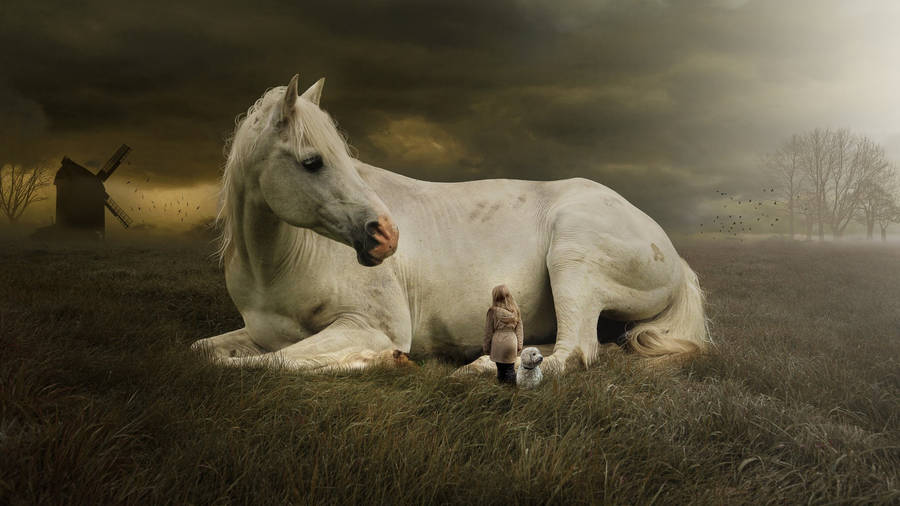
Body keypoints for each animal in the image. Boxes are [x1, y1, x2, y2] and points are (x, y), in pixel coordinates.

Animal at [190, 74, 711, 374]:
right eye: (313, 161)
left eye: (342, 156)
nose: (386, 235)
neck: (278, 265)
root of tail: (674, 254)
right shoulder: (262, 332)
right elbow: (208, 352)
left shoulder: (367, 326)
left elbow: (272, 363)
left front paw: (383, 360)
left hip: (573, 260)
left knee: (575, 350)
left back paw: (483, 370)